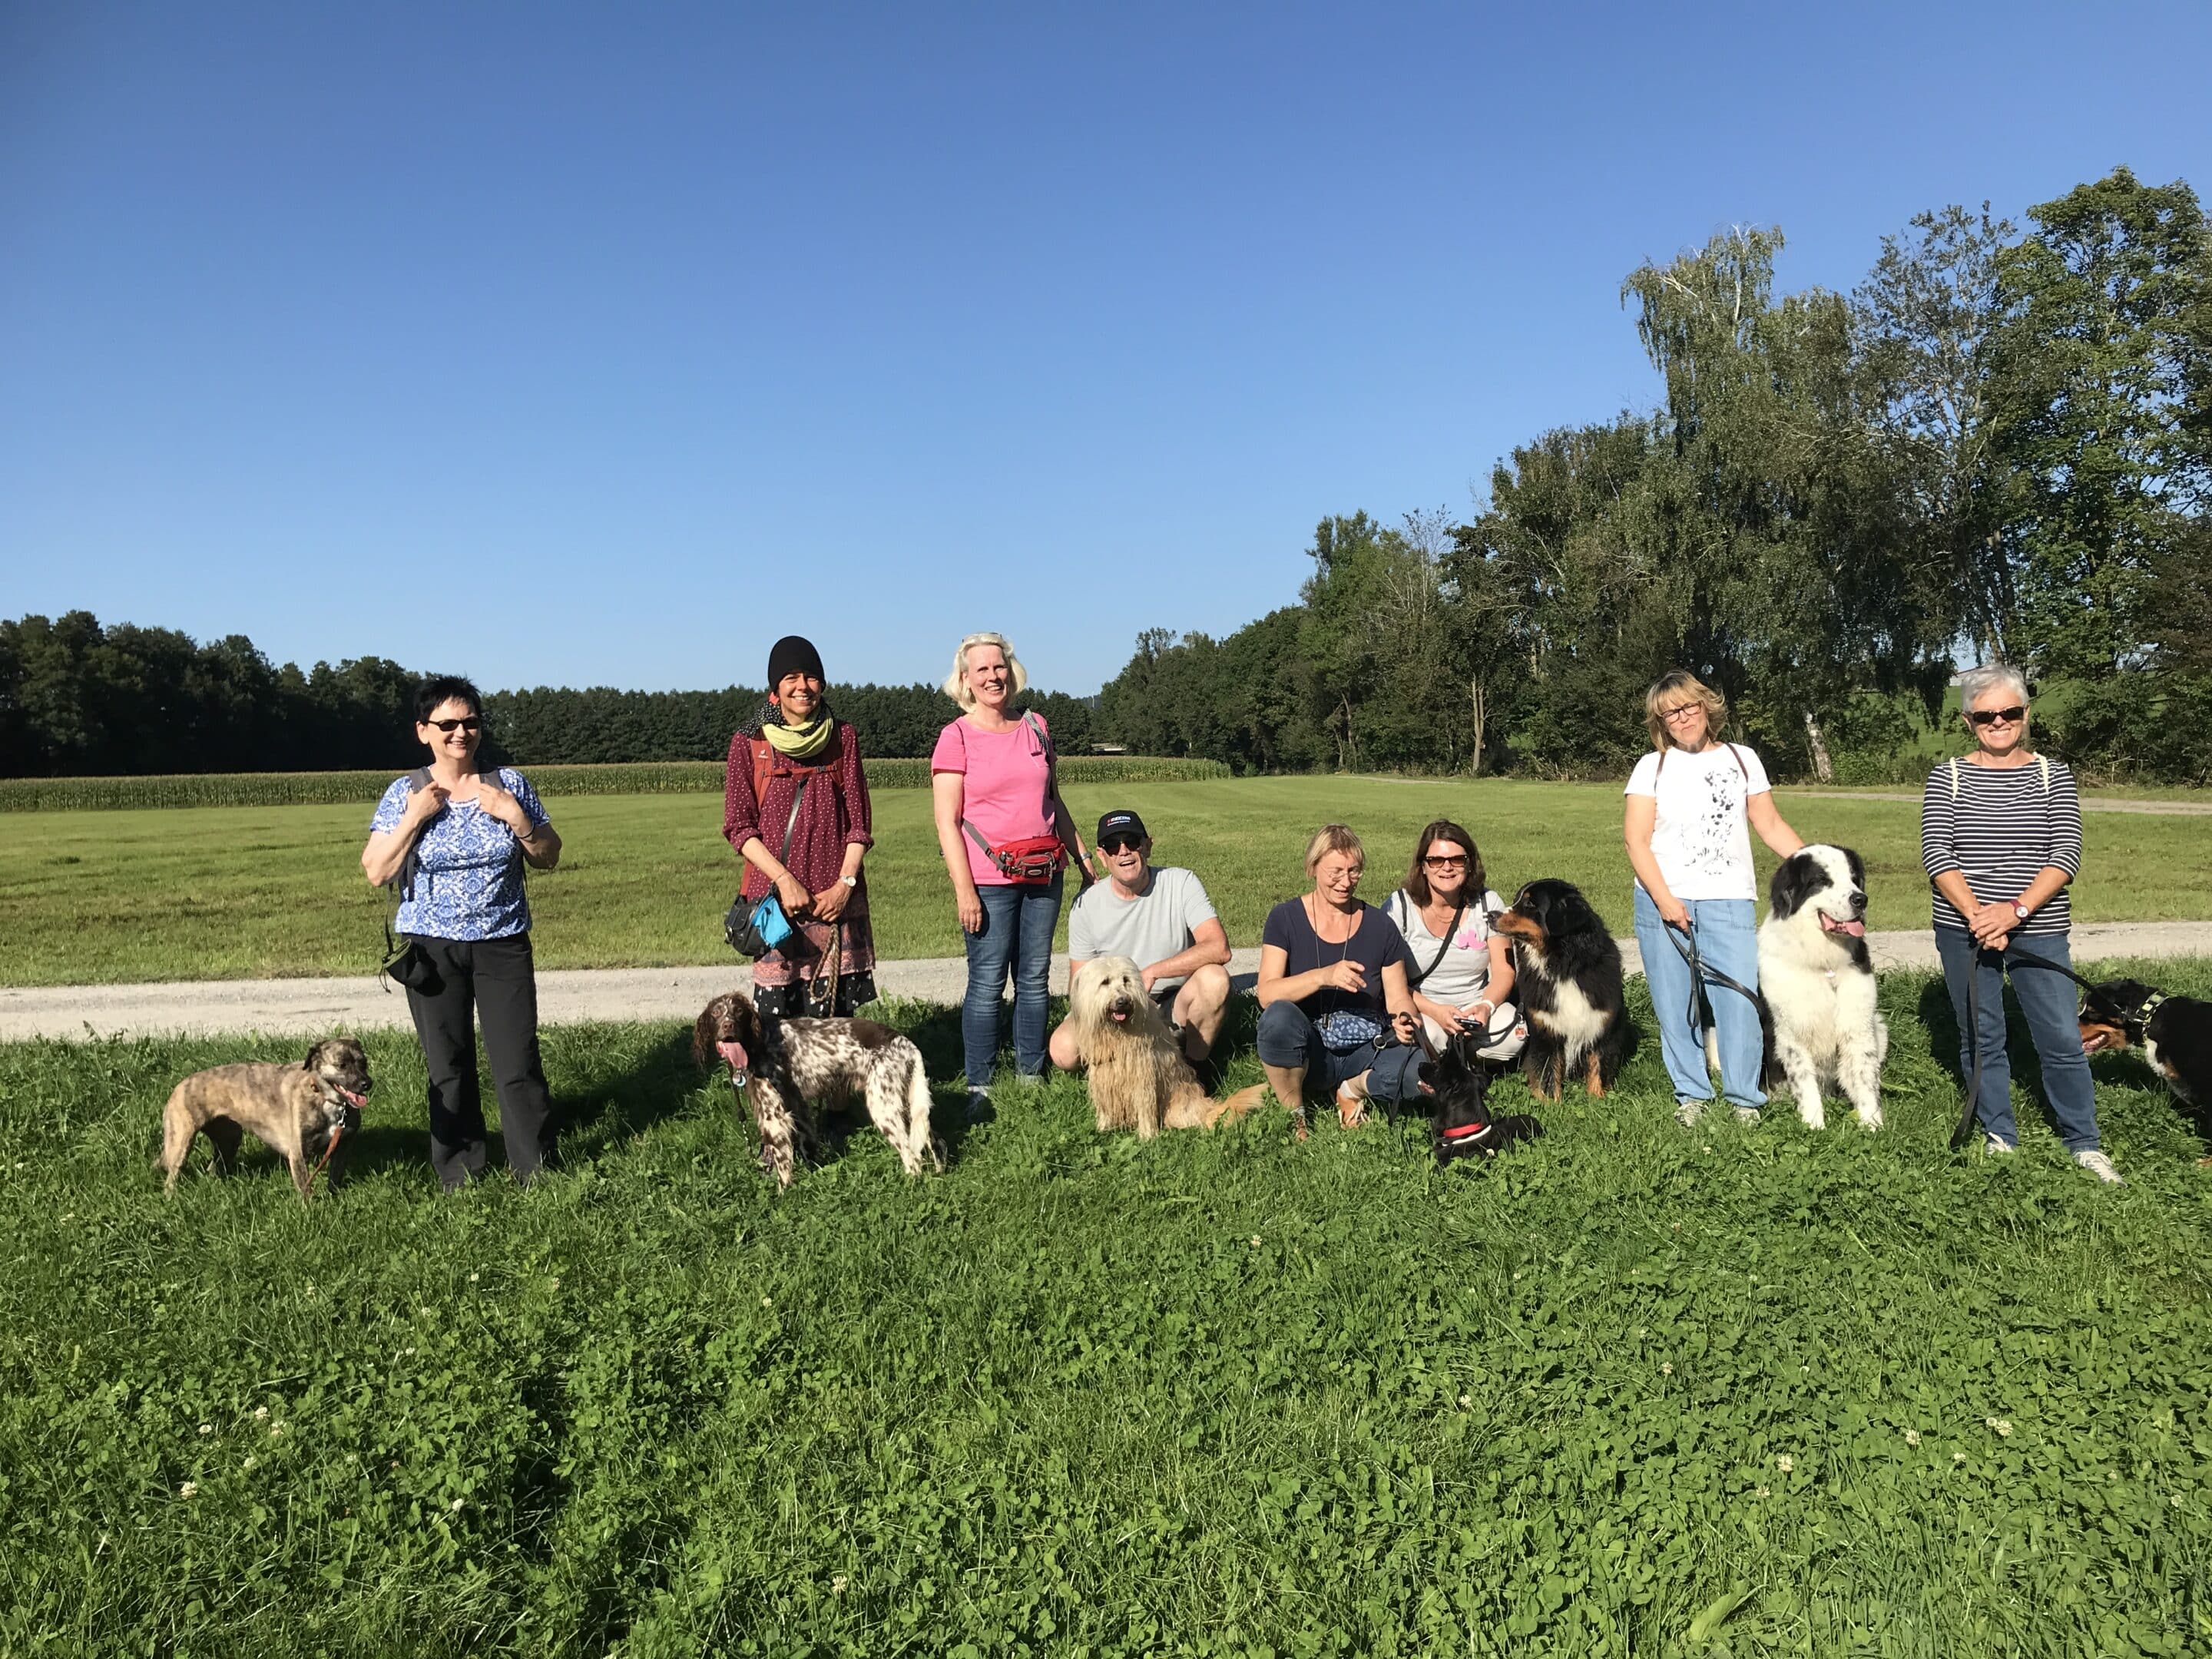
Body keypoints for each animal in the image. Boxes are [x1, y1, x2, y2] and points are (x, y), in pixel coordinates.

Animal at [158, 1037, 370, 1201]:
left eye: (364, 1063)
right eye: (341, 1065)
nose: (367, 1083)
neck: (325, 1099)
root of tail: (178, 1086)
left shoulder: (343, 1145)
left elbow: (335, 1177)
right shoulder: (298, 1153)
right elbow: (305, 1188)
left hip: (229, 1140)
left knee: (214, 1167)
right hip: (180, 1142)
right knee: (172, 1177)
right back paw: (171, 1199)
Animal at [692, 991, 942, 1187]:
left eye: (739, 1012)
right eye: (716, 1013)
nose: (728, 1026)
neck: (758, 1041)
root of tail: (906, 1044)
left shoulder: (775, 1115)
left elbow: (783, 1163)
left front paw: (785, 1194)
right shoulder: (797, 1107)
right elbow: (807, 1146)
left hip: (884, 1108)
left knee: (913, 1157)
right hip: (911, 1104)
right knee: (932, 1142)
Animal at [1067, 956, 1265, 1136]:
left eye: (1126, 980)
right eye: (1105, 982)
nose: (1123, 1001)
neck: (1117, 1033)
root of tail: (1205, 1106)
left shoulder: (1143, 1076)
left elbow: (1145, 1107)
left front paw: (1148, 1136)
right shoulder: (1103, 1074)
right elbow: (1104, 1104)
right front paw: (1103, 1128)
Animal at [1489, 880, 1632, 1099]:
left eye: (1530, 903)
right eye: (1516, 899)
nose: (1490, 915)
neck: (1563, 967)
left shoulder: (1601, 1025)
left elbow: (1598, 1068)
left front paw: (1597, 1099)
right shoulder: (1545, 1030)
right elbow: (1547, 1074)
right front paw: (1551, 1103)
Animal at [1757, 845, 1889, 1130]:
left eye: (1854, 878)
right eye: (1822, 881)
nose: (1860, 899)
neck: (1823, 962)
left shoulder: (1858, 1024)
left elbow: (1864, 1076)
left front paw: (1872, 1124)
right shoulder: (1791, 1033)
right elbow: (1805, 1082)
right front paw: (1813, 1124)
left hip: (1880, 1027)